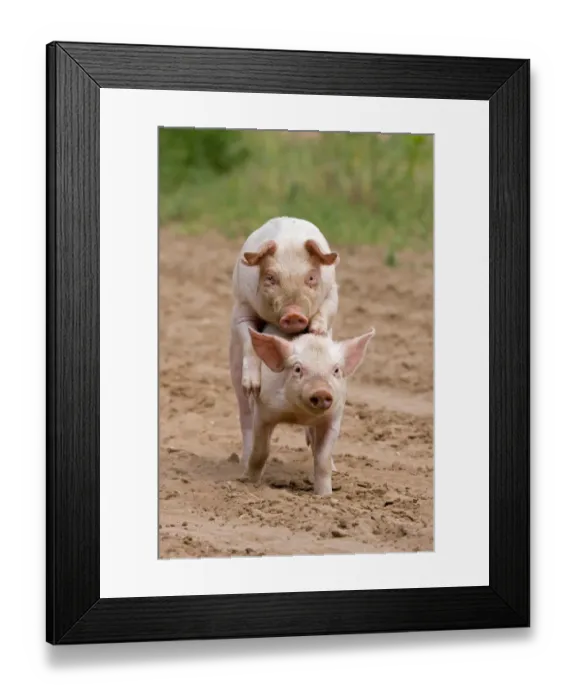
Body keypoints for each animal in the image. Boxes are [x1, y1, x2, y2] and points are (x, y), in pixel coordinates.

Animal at [229, 216, 340, 469]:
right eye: (270, 278)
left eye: (311, 278)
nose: (294, 314)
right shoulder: (242, 306)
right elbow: (249, 335)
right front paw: (254, 386)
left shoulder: (332, 292)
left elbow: (326, 312)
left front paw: (317, 332)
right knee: (246, 418)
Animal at [238, 324, 375, 496]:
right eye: (297, 369)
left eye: (336, 370)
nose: (321, 391)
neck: (299, 416)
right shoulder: (263, 412)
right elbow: (261, 451)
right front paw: (248, 482)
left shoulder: (334, 418)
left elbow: (323, 459)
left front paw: (325, 495)